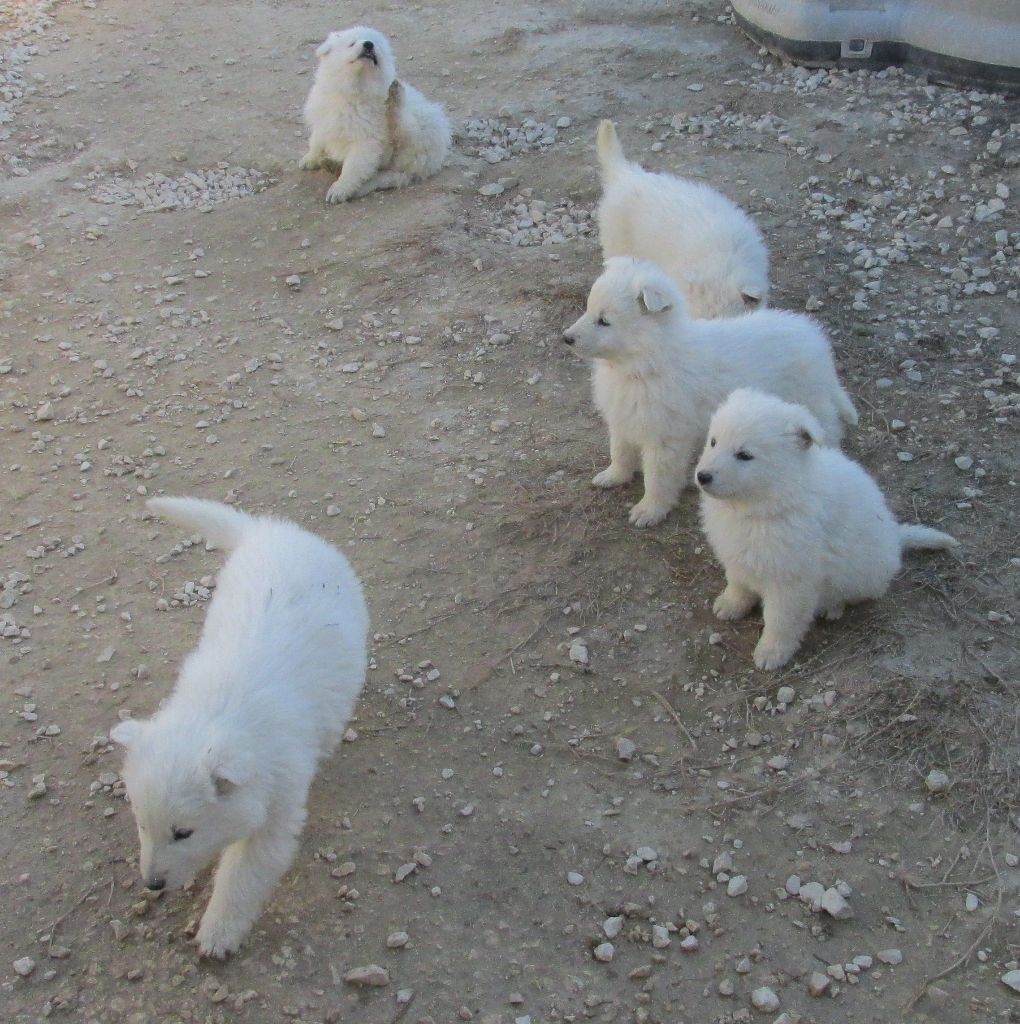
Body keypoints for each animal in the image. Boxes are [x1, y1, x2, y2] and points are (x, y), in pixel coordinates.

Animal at [112, 497, 366, 958]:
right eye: (140, 823)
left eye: (183, 832)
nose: (152, 885)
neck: (216, 712)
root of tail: (268, 530)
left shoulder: (277, 808)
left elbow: (241, 877)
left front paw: (218, 931)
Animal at [299, 27, 450, 203]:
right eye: (352, 43)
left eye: (376, 44)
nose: (369, 44)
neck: (354, 90)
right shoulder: (324, 121)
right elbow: (316, 141)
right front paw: (310, 159)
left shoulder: (366, 141)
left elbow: (353, 168)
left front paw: (340, 189)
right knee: (382, 176)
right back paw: (332, 165)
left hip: (423, 132)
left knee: (404, 131)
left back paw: (396, 97)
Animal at [561, 258, 856, 528]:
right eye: (588, 310)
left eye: (604, 321)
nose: (566, 338)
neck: (646, 362)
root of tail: (814, 336)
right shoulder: (623, 417)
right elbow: (620, 450)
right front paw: (613, 476)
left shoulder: (666, 437)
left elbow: (657, 477)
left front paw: (650, 510)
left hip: (810, 401)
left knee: (828, 430)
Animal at [692, 387, 954, 667]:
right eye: (713, 442)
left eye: (744, 455)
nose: (702, 476)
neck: (765, 504)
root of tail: (895, 536)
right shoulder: (738, 555)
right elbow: (738, 583)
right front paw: (730, 605)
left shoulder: (791, 581)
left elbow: (780, 621)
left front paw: (771, 652)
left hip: (865, 575)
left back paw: (833, 607)